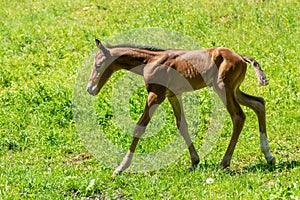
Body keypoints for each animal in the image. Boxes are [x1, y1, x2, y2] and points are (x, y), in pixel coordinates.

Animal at [85, 39, 276, 177]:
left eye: (97, 65)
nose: (89, 89)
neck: (150, 60)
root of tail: (241, 57)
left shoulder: (156, 95)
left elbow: (140, 126)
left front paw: (120, 168)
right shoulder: (173, 95)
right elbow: (181, 125)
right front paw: (194, 161)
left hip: (223, 88)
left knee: (238, 116)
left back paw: (224, 162)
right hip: (234, 90)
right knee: (259, 103)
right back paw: (269, 156)